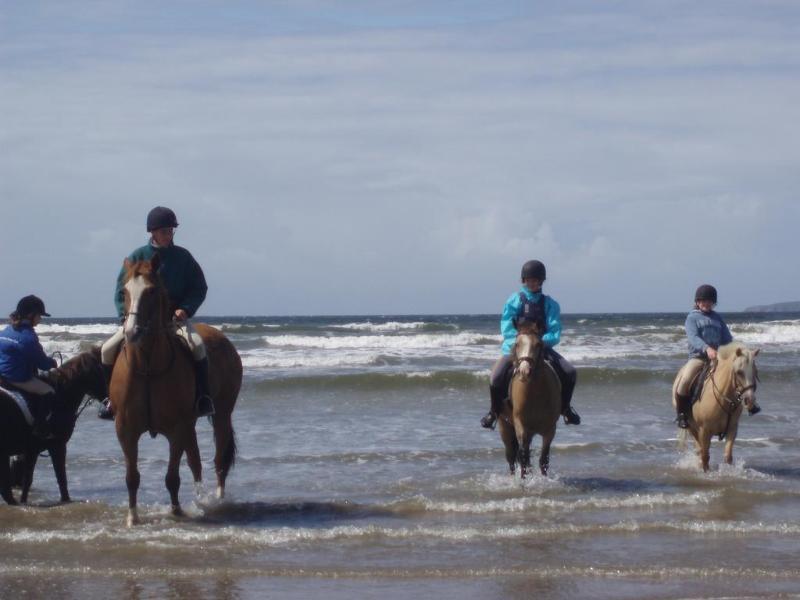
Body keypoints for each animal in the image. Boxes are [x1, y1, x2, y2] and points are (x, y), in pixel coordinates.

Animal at [0, 346, 107, 506]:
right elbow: (57, 478)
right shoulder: (53, 446)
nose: (108, 402)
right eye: (101, 371)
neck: (59, 397)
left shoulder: (31, 451)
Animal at [112, 255, 242, 528]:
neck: (148, 367)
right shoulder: (126, 430)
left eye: (151, 291)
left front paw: (176, 511)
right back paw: (201, 499)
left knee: (219, 460)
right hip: (191, 425)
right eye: (124, 292)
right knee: (195, 462)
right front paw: (132, 517)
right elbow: (132, 476)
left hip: (221, 415)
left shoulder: (176, 429)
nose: (131, 332)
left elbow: (172, 476)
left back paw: (217, 500)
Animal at [496, 324, 560, 478]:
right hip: (504, 427)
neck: (535, 395)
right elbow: (523, 457)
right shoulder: (521, 427)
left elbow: (543, 459)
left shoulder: (550, 430)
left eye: (538, 344)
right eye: (517, 344)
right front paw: (523, 481)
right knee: (511, 457)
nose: (525, 371)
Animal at [672, 342, 760, 474]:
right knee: (699, 450)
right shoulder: (704, 430)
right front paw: (706, 473)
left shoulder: (732, 429)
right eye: (739, 372)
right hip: (691, 427)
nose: (750, 401)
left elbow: (728, 456)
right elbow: (705, 455)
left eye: (754, 371)